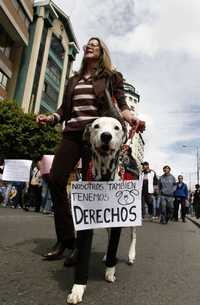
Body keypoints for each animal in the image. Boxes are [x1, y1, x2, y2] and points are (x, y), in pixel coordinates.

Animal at [67, 116, 126, 302]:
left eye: (116, 128)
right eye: (96, 126)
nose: (106, 136)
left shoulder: (118, 221)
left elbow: (114, 245)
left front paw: (110, 272)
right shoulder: (86, 222)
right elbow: (84, 254)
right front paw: (78, 289)